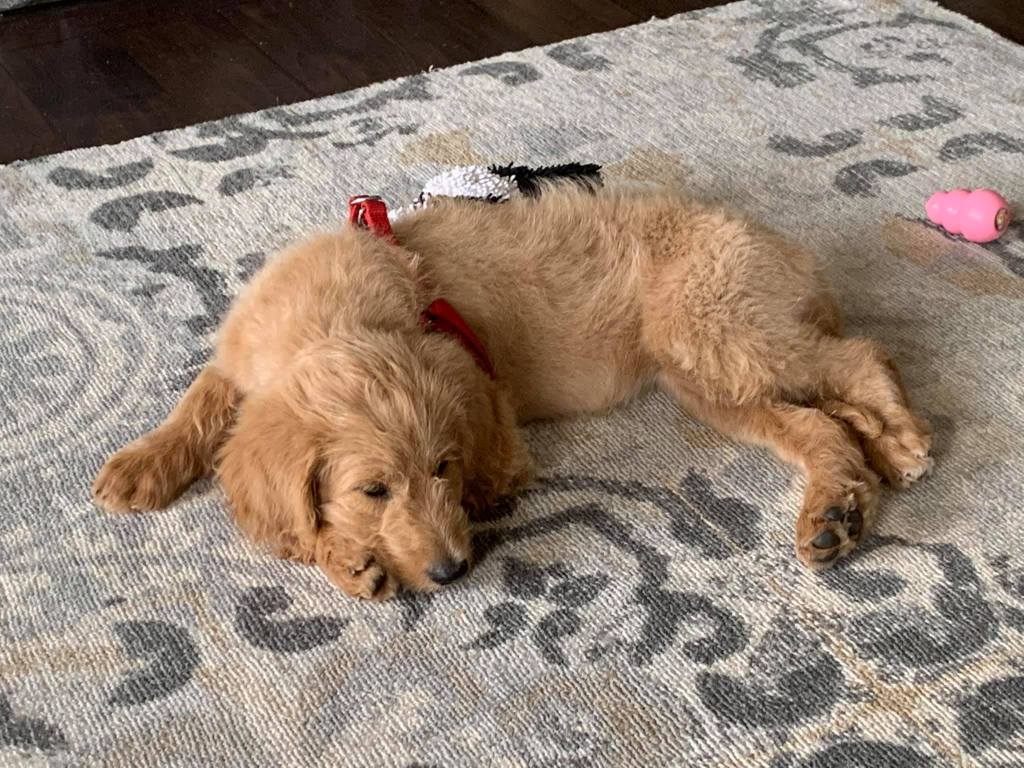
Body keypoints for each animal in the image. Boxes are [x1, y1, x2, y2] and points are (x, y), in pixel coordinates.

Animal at [93, 185, 933, 600]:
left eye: (445, 469)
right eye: (373, 490)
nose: (453, 573)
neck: (335, 319)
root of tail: (793, 253)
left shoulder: (485, 403)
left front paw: (343, 556)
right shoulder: (242, 359)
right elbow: (202, 398)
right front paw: (142, 464)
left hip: (716, 327)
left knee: (860, 355)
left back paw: (902, 439)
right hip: (709, 375)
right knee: (823, 420)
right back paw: (847, 496)